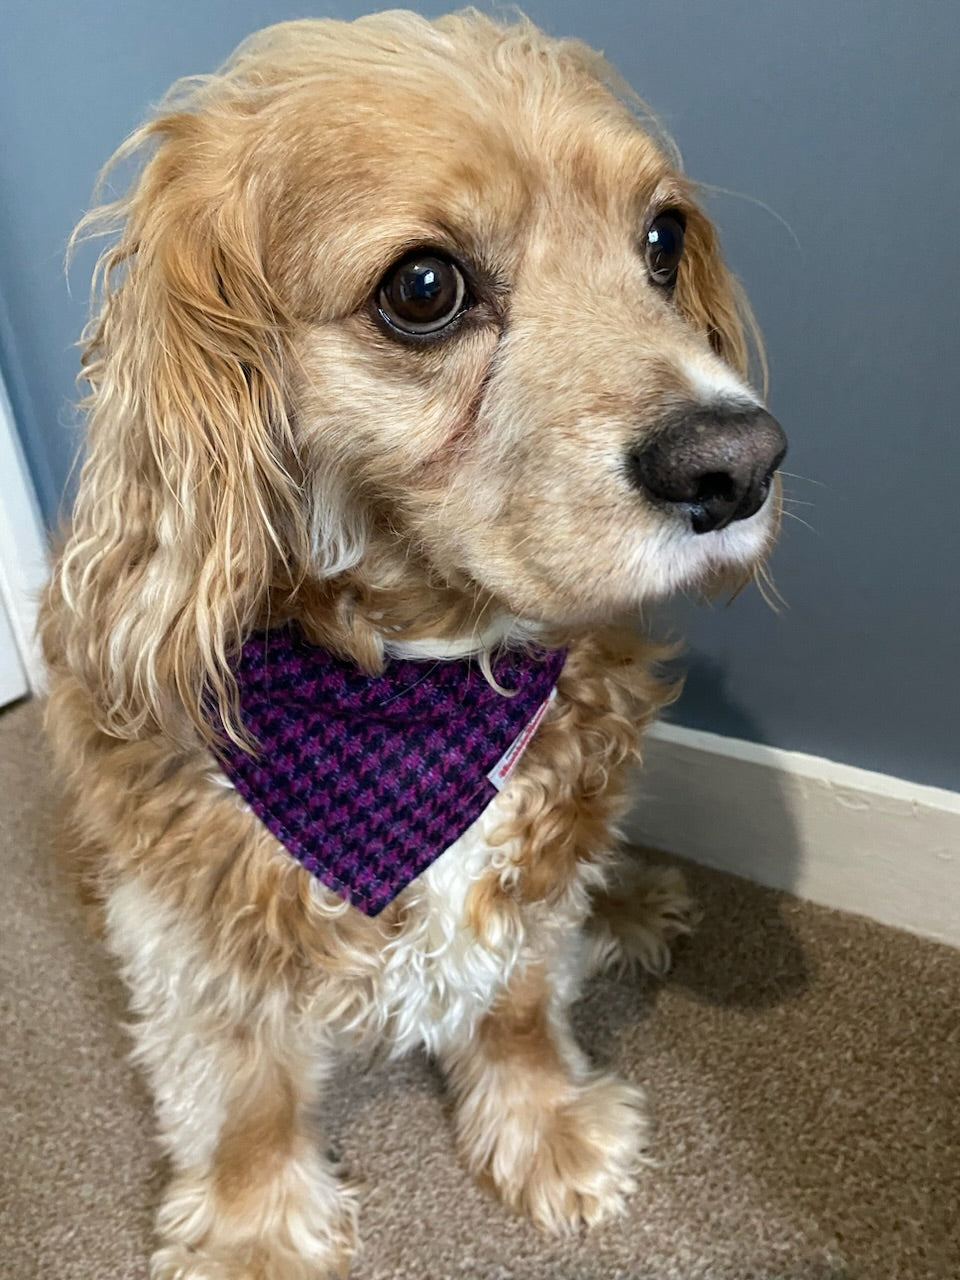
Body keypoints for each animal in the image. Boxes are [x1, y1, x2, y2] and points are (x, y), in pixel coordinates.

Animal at [39, 12, 788, 1280]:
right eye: (424, 288)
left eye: (662, 239)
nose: (739, 463)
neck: (420, 674)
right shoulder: (190, 905)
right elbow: (240, 1083)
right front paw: (253, 1229)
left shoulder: (537, 851)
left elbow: (521, 996)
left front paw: (546, 1126)